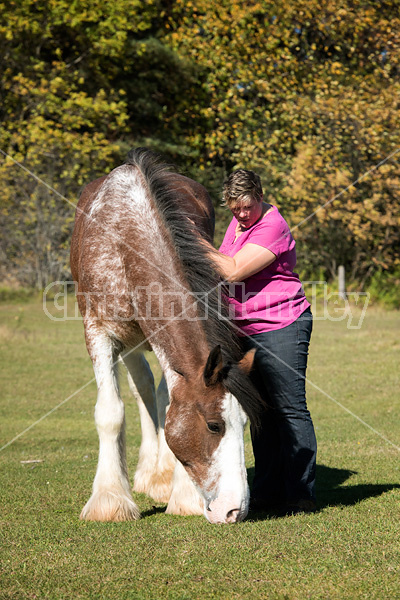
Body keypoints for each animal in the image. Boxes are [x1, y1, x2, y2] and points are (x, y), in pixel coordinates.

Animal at [70, 148, 260, 524]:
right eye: (214, 426)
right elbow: (110, 412)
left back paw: (159, 476)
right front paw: (109, 500)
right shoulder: (99, 331)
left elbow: (170, 401)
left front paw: (184, 496)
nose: (236, 510)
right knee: (142, 388)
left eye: (244, 424)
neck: (125, 235)